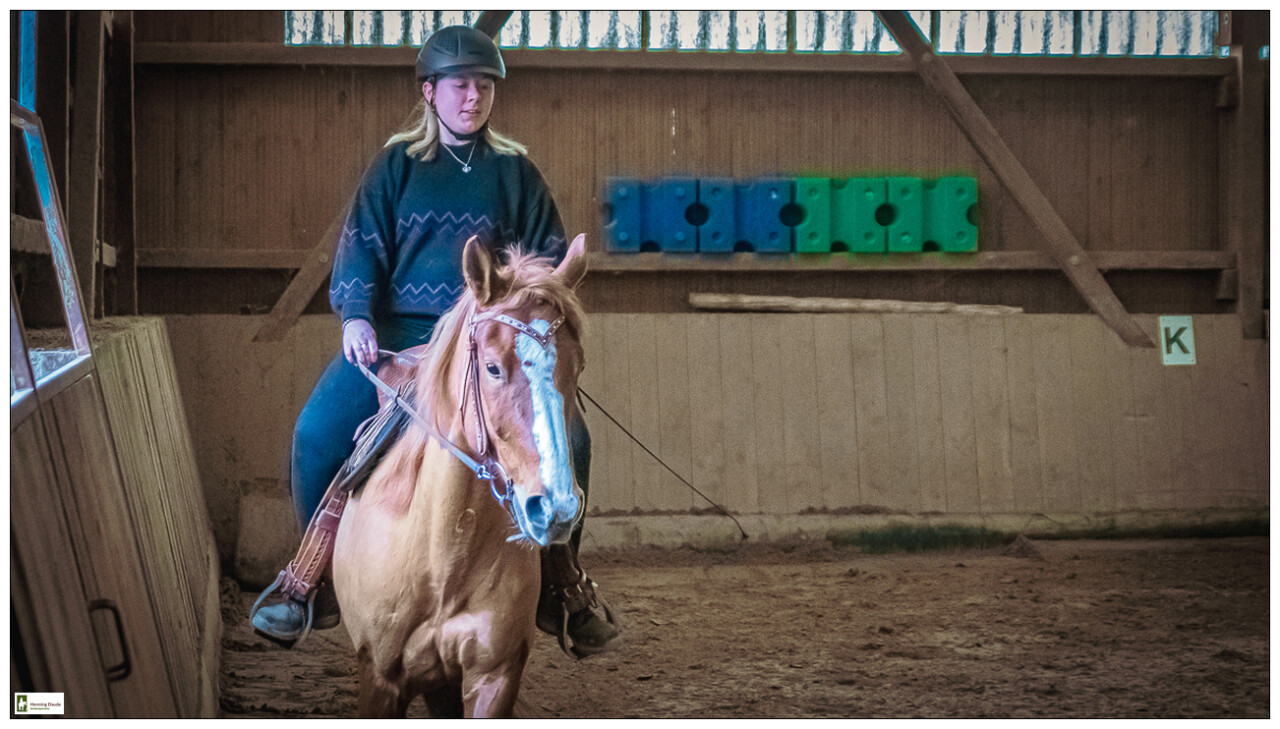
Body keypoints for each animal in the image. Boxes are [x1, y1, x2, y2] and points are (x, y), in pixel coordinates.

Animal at [332, 234, 590, 718]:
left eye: (578, 366)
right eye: (491, 367)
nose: (555, 508)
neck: (442, 557)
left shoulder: (495, 674)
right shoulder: (379, 677)